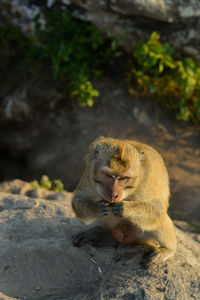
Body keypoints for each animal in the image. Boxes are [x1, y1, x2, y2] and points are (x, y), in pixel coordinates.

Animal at [72, 136, 177, 264]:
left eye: (123, 178)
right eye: (108, 176)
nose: (113, 194)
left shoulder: (146, 180)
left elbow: (158, 210)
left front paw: (125, 208)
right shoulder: (89, 171)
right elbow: (78, 199)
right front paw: (97, 208)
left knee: (160, 221)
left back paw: (168, 250)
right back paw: (94, 231)